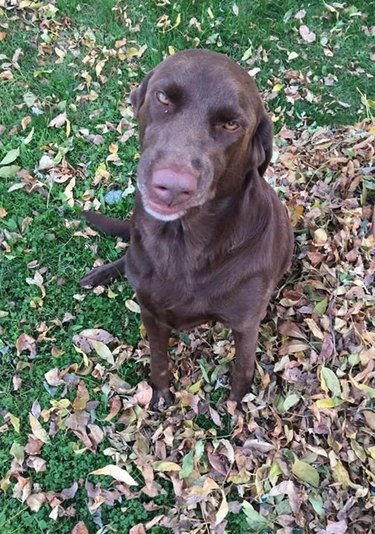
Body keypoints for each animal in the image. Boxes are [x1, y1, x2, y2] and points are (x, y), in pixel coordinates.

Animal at [81, 50, 296, 410]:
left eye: (231, 124)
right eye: (163, 98)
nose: (172, 186)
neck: (182, 244)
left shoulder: (246, 324)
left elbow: (242, 368)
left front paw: (237, 405)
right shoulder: (151, 312)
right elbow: (158, 358)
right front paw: (161, 395)